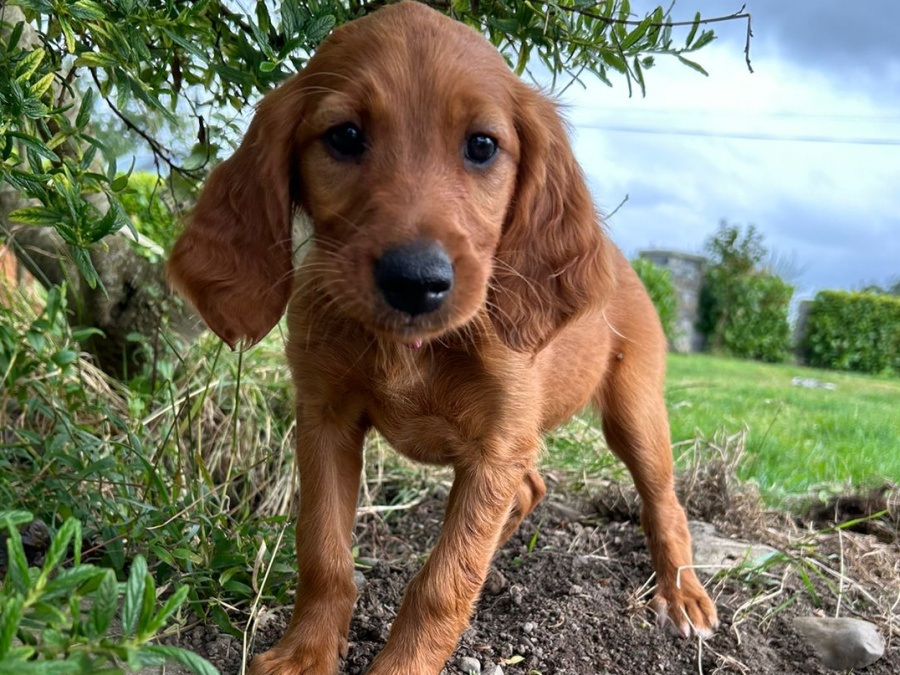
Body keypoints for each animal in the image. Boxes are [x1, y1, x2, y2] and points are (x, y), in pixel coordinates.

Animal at [169, 2, 716, 672]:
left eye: (482, 145)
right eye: (344, 136)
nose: (416, 281)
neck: (413, 348)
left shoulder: (496, 445)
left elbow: (444, 582)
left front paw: (400, 665)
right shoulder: (325, 418)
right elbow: (323, 552)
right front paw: (304, 654)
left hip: (634, 411)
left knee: (663, 501)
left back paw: (683, 595)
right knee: (531, 486)